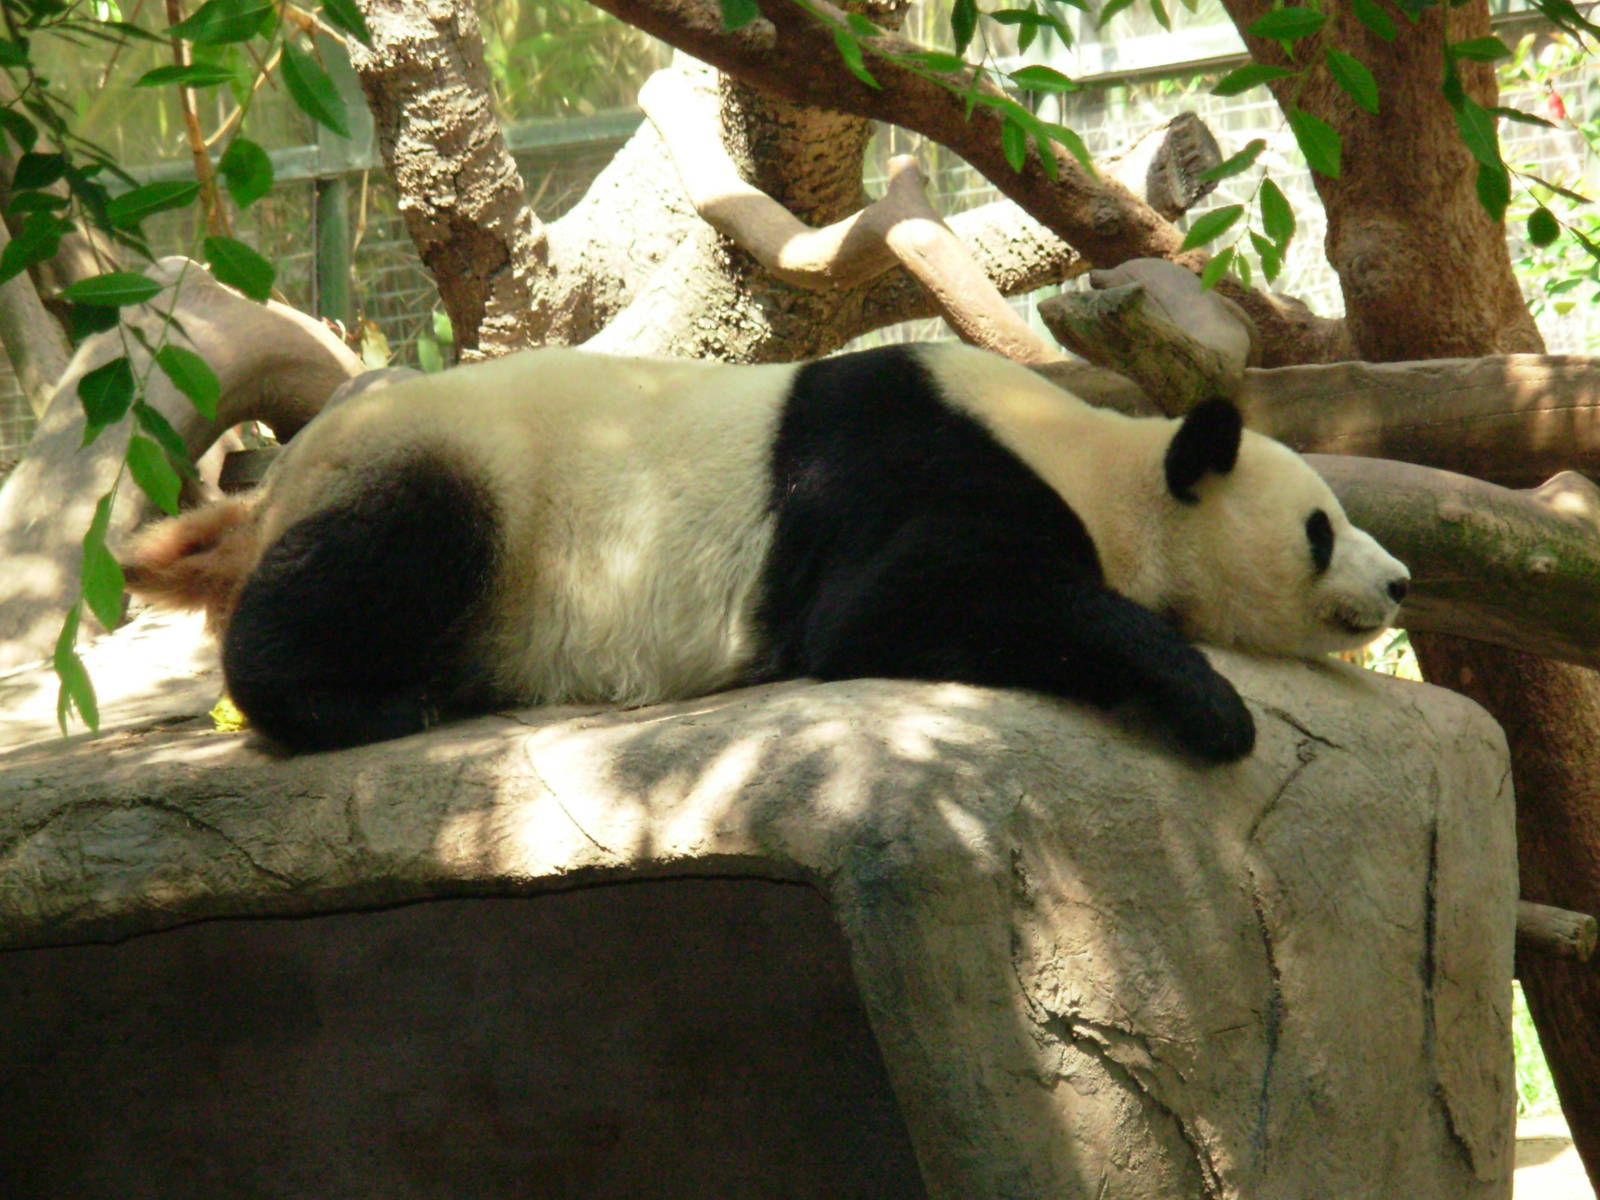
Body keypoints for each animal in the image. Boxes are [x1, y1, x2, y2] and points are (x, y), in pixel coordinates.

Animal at [121, 342, 1410, 760]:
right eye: (1319, 529)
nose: (1398, 580)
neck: (1102, 460)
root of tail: (280, 480)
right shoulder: (923, 474)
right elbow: (896, 611)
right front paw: (1210, 708)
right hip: (461, 474)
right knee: (369, 569)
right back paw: (371, 704)